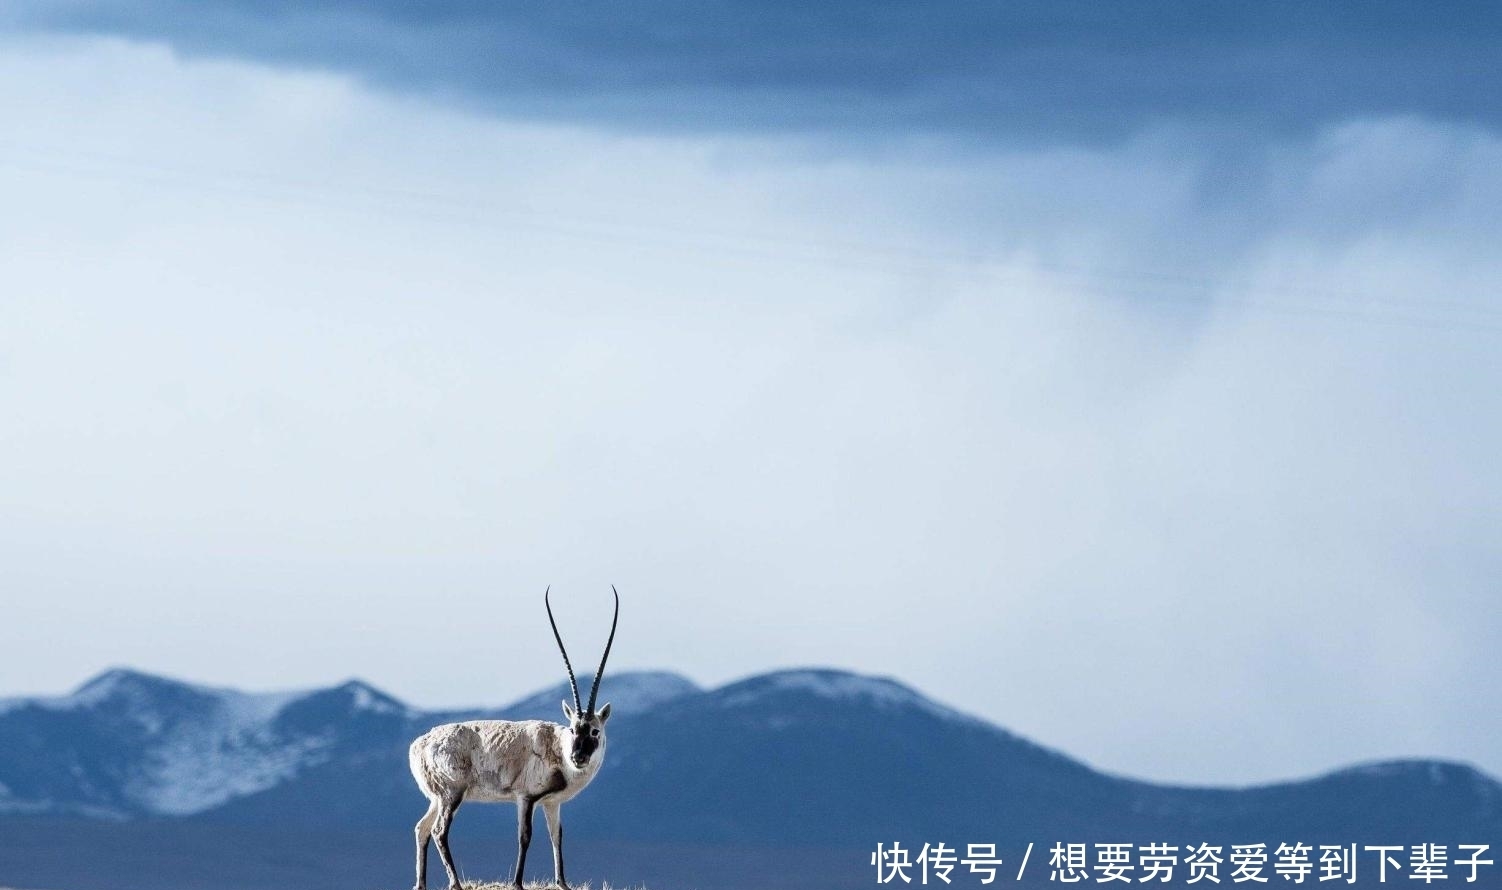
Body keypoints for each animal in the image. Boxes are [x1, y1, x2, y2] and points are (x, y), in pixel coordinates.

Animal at [408, 582, 618, 888]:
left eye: (594, 730)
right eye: (572, 728)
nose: (578, 756)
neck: (557, 748)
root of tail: (419, 746)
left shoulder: (552, 803)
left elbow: (557, 836)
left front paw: (563, 882)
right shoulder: (525, 798)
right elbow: (525, 836)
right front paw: (517, 882)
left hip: (436, 797)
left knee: (421, 828)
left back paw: (421, 883)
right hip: (451, 794)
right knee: (438, 831)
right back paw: (455, 882)